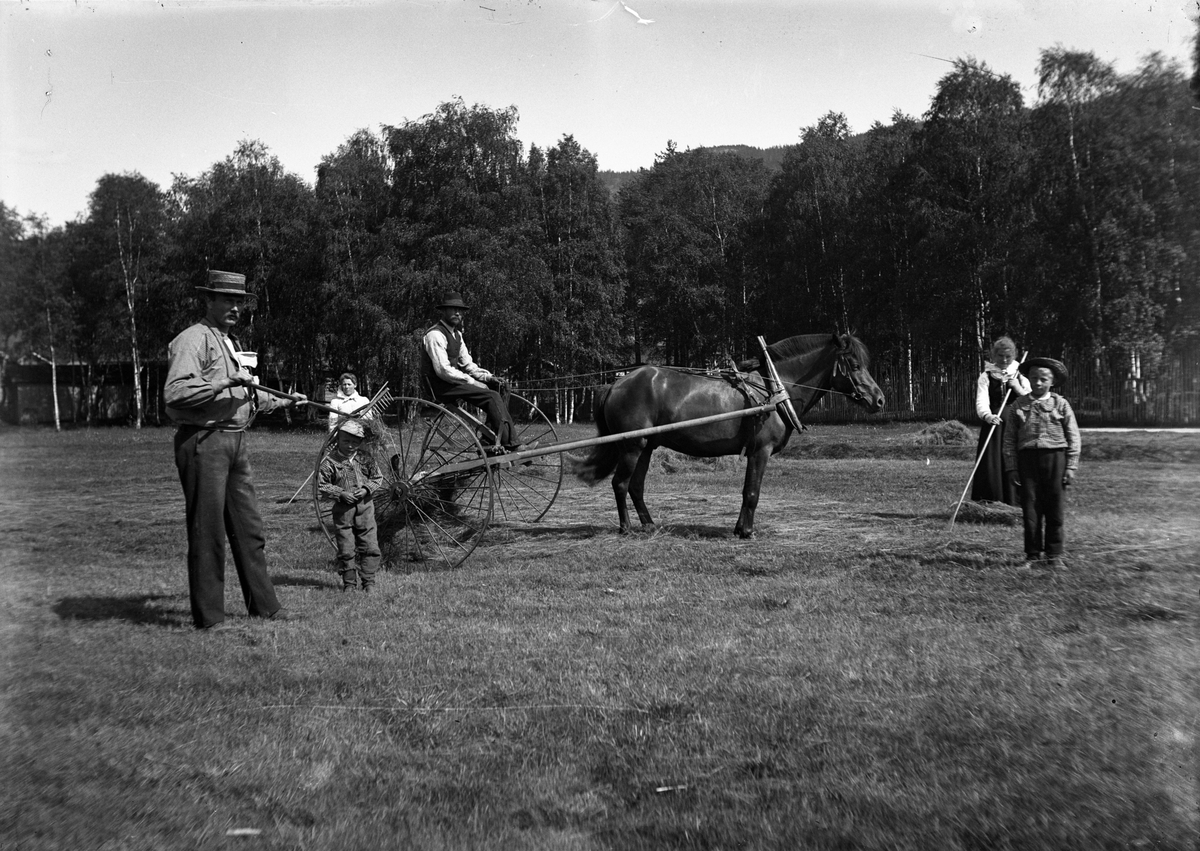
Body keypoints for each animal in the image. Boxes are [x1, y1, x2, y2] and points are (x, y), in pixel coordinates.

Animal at [566, 331, 888, 537]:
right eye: (854, 365)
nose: (879, 400)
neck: (774, 389)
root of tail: (616, 384)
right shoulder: (761, 451)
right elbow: (751, 492)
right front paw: (746, 531)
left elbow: (748, 490)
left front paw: (739, 528)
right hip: (632, 445)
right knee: (620, 484)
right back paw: (626, 528)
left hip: (646, 446)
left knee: (635, 486)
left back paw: (649, 525)